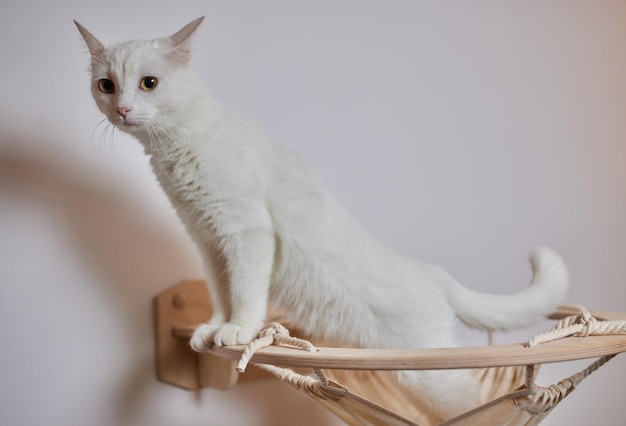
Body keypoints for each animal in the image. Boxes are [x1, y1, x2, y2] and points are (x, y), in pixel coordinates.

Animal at [77, 17, 564, 420]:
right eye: (106, 85)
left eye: (149, 83)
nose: (122, 108)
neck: (177, 149)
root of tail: (431, 273)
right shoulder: (206, 240)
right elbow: (220, 291)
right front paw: (214, 327)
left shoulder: (246, 233)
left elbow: (245, 293)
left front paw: (238, 331)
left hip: (430, 376)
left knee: (470, 402)